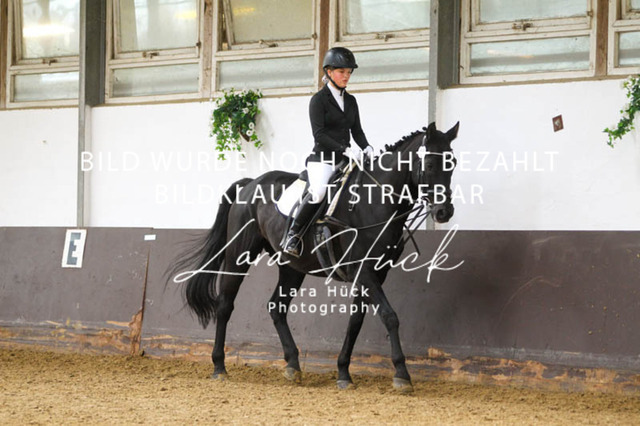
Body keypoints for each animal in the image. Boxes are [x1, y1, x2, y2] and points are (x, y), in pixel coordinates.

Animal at [170, 122, 460, 392]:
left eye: (453, 164)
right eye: (430, 163)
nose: (444, 212)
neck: (374, 200)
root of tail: (249, 184)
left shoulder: (374, 273)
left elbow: (356, 321)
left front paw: (343, 373)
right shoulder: (363, 270)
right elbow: (389, 316)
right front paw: (401, 375)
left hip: (291, 267)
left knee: (277, 307)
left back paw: (293, 365)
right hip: (238, 256)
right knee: (225, 305)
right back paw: (219, 366)